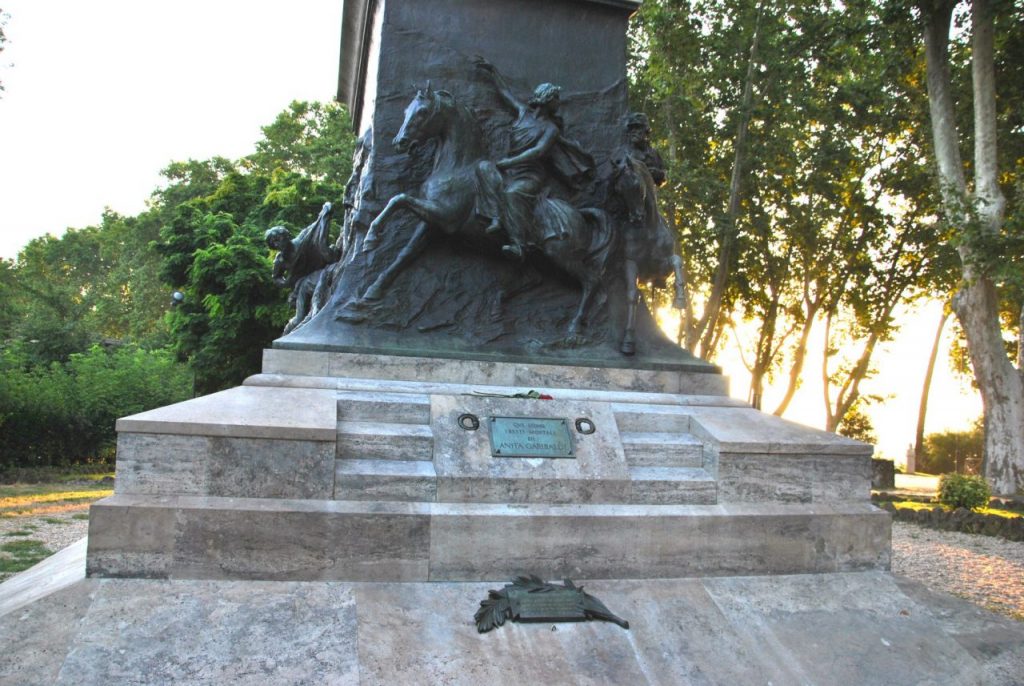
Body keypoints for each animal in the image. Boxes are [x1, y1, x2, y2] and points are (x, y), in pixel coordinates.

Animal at [344, 86, 614, 344]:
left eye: (422, 112)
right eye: (405, 111)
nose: (399, 141)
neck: (457, 168)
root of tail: (578, 214)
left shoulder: (445, 217)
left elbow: (399, 199)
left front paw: (371, 236)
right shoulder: (431, 224)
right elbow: (404, 253)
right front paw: (370, 292)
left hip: (561, 255)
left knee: (591, 282)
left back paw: (573, 330)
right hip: (538, 256)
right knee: (533, 278)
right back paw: (497, 304)